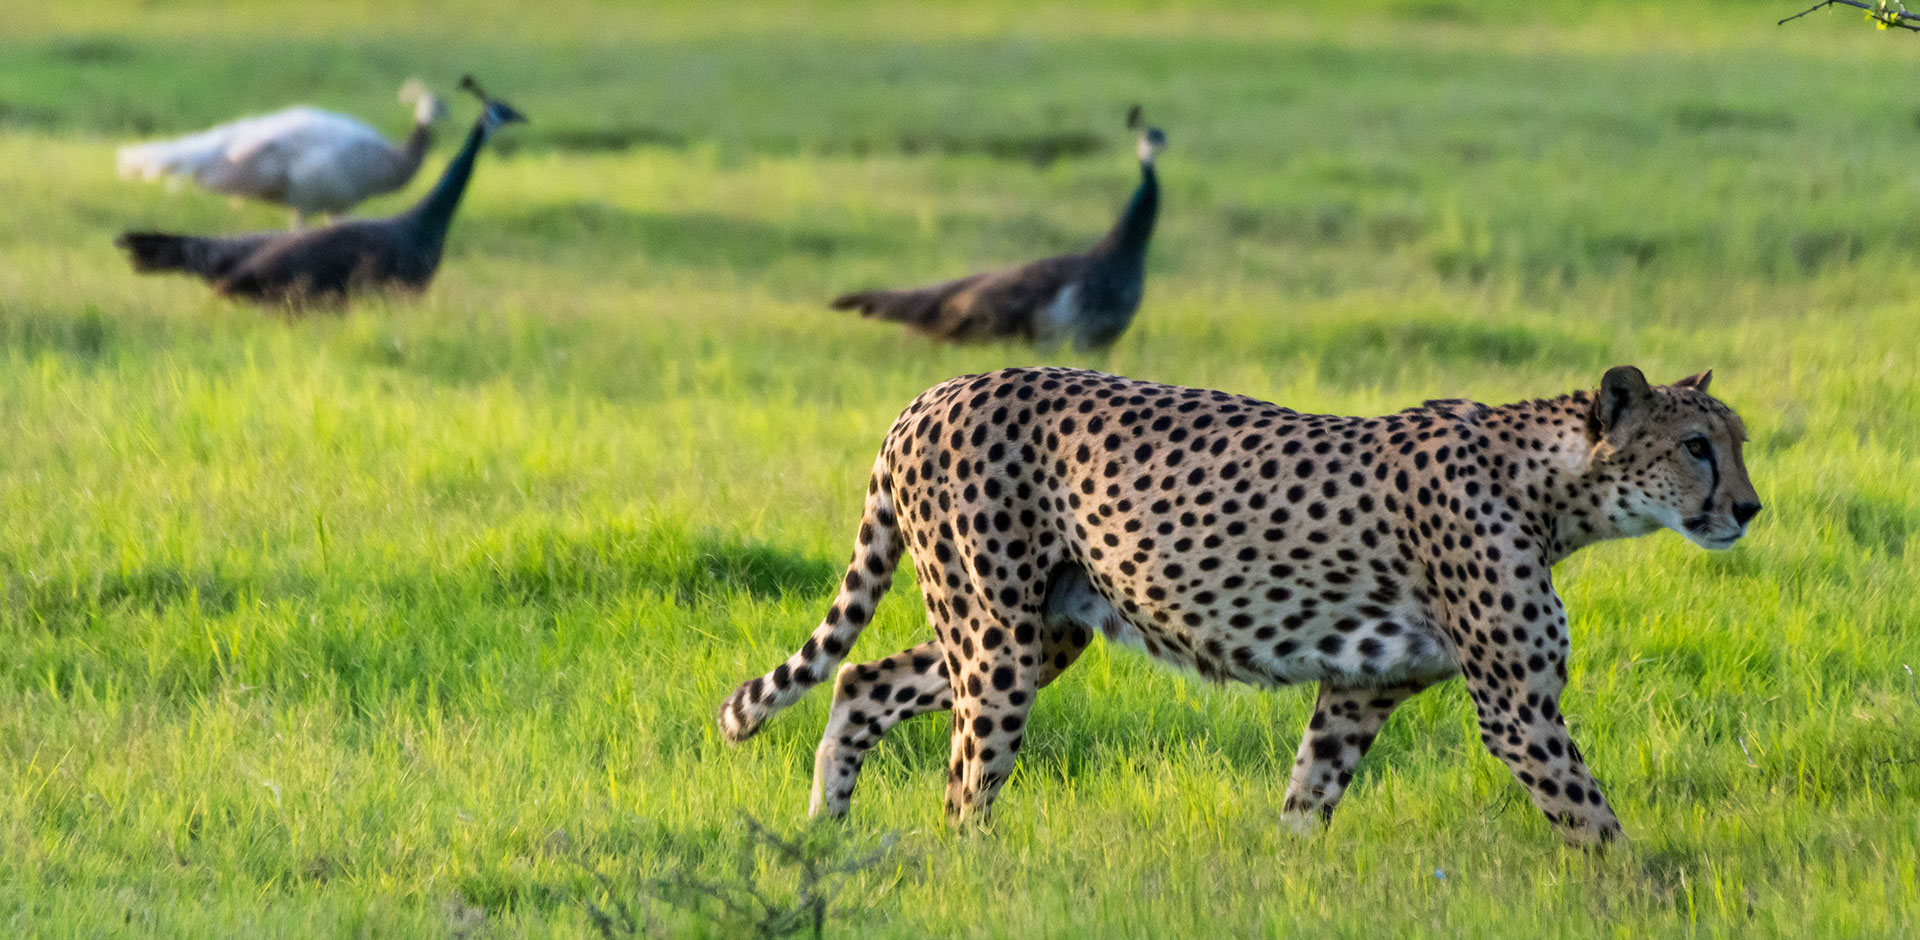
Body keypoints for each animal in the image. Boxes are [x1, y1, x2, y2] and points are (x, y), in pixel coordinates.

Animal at [718, 362, 1758, 844]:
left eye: (1736, 441)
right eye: (1696, 446)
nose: (1749, 509)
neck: (1553, 485)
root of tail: (933, 392)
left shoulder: (1360, 691)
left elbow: (1307, 799)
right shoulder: (1516, 707)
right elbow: (1597, 823)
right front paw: (1648, 896)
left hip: (1039, 632)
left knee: (860, 679)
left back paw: (826, 830)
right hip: (997, 638)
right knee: (963, 787)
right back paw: (964, 870)